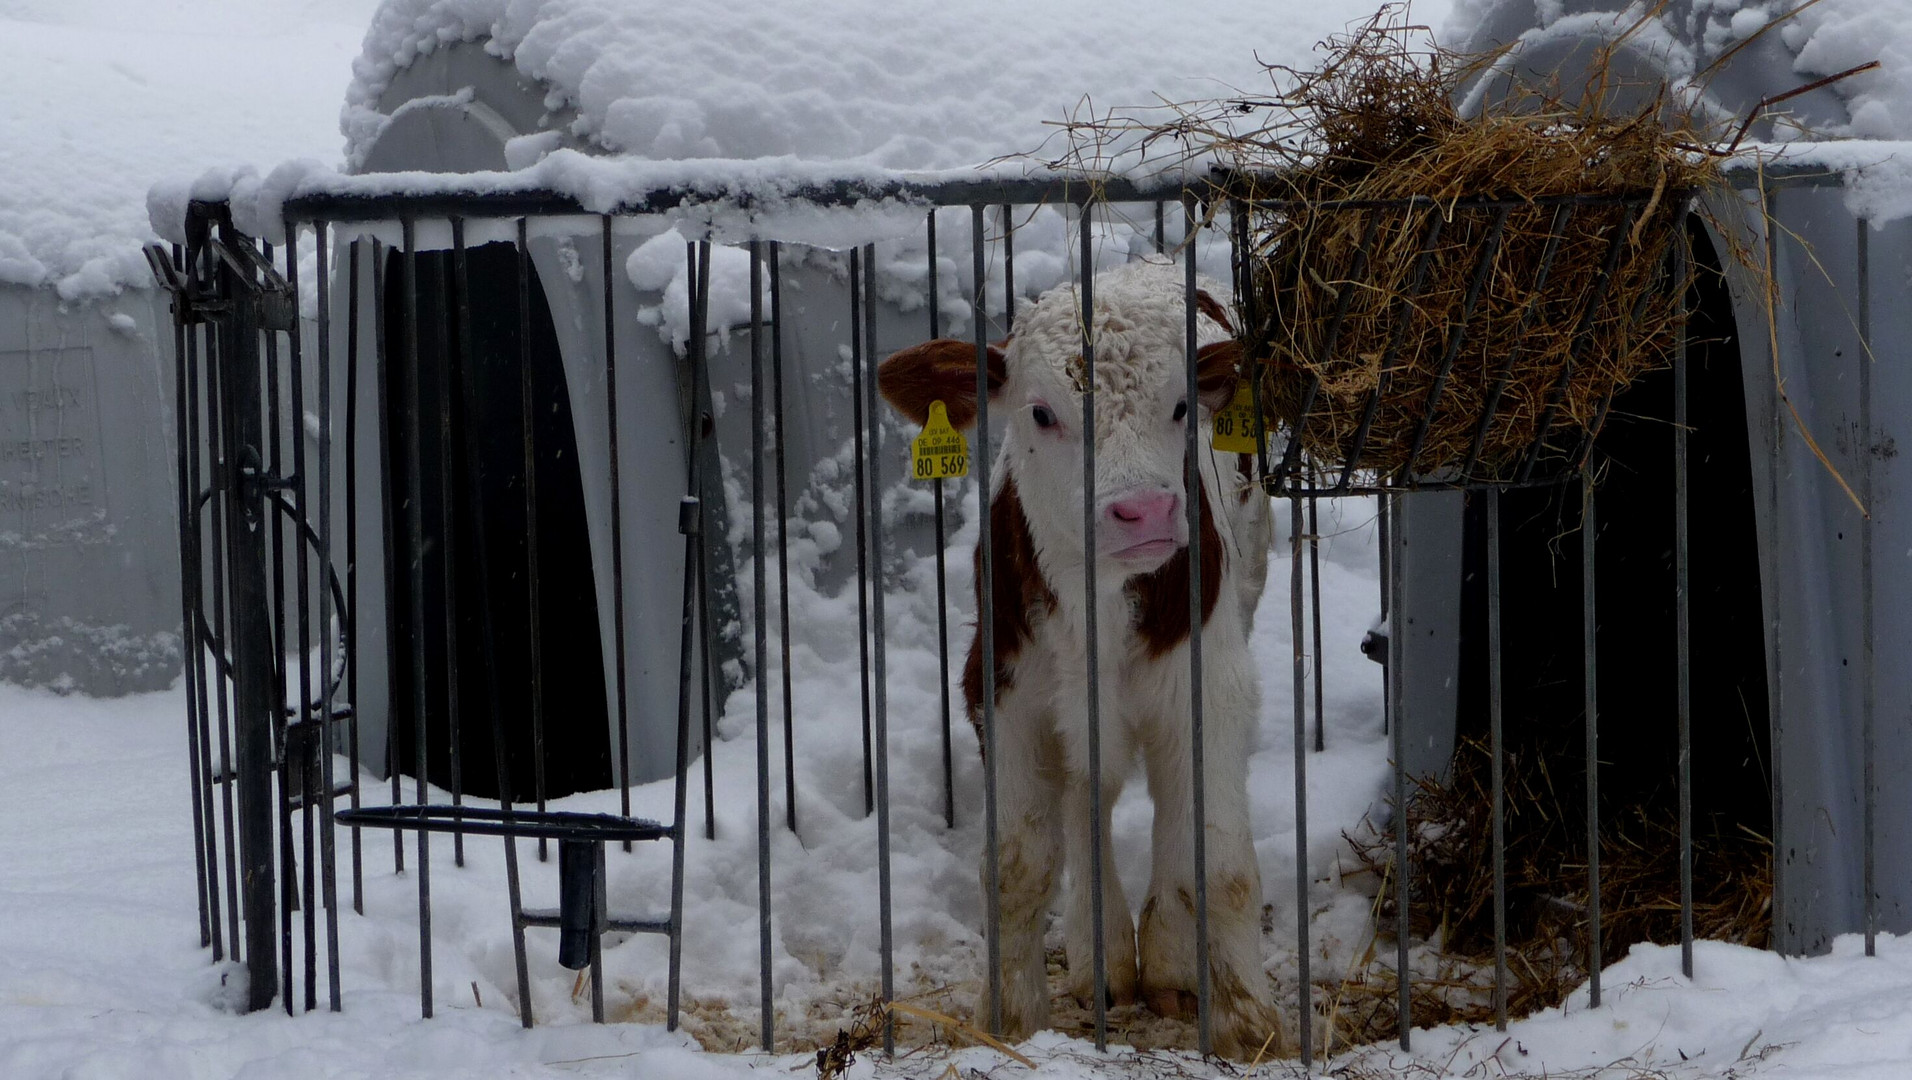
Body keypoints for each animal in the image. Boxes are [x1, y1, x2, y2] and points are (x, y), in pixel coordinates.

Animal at [883, 258, 1277, 1055]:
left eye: (1183, 406)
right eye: (1041, 413)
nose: (1145, 512)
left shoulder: (1210, 686)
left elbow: (1218, 865)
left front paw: (1247, 1023)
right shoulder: (1002, 690)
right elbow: (1015, 866)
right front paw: (1010, 1021)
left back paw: (1166, 959)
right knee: (1088, 790)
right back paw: (1104, 957)